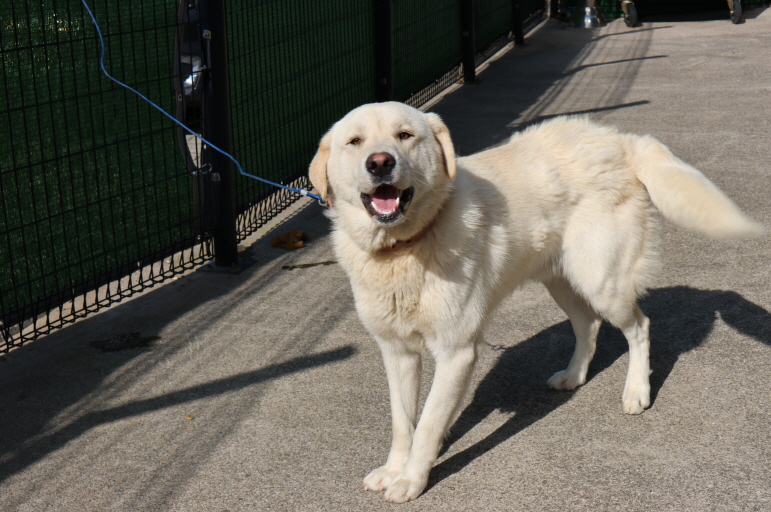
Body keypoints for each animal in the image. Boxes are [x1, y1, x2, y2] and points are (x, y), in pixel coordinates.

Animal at [306, 102, 760, 502]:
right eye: (355, 141)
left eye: (405, 135)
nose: (380, 163)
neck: (403, 248)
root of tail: (617, 139)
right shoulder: (397, 351)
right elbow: (404, 423)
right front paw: (394, 469)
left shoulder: (457, 352)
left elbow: (430, 424)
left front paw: (413, 480)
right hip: (560, 281)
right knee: (588, 326)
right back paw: (574, 376)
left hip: (601, 281)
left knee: (639, 327)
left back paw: (636, 391)